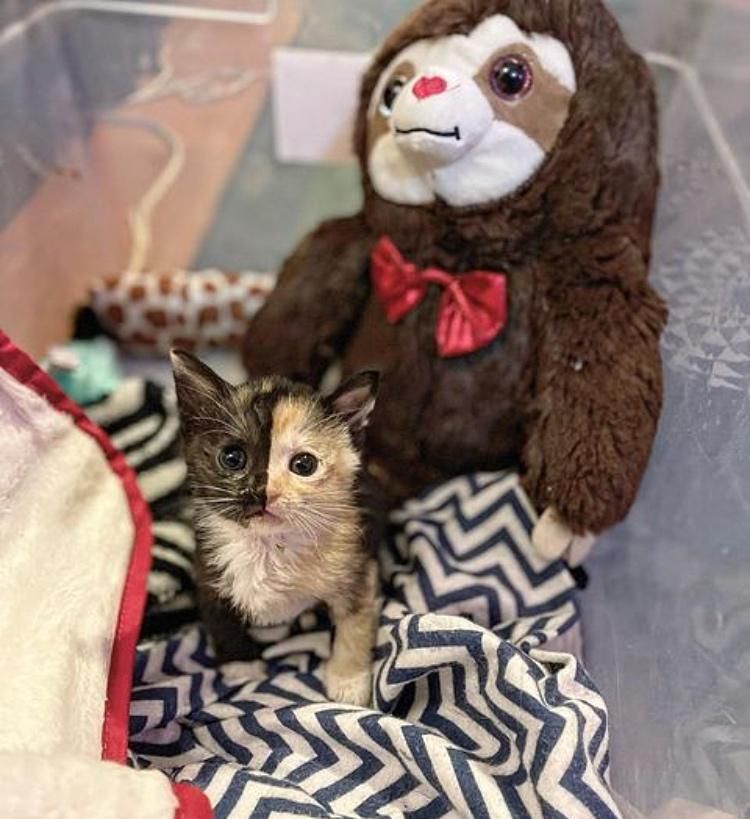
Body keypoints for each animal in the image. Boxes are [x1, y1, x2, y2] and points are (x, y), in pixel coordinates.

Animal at [171, 350, 382, 708]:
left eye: (304, 465)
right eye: (232, 457)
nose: (262, 492)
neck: (269, 545)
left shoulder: (357, 562)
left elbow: (355, 622)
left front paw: (348, 680)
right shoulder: (206, 567)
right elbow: (219, 617)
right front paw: (241, 665)